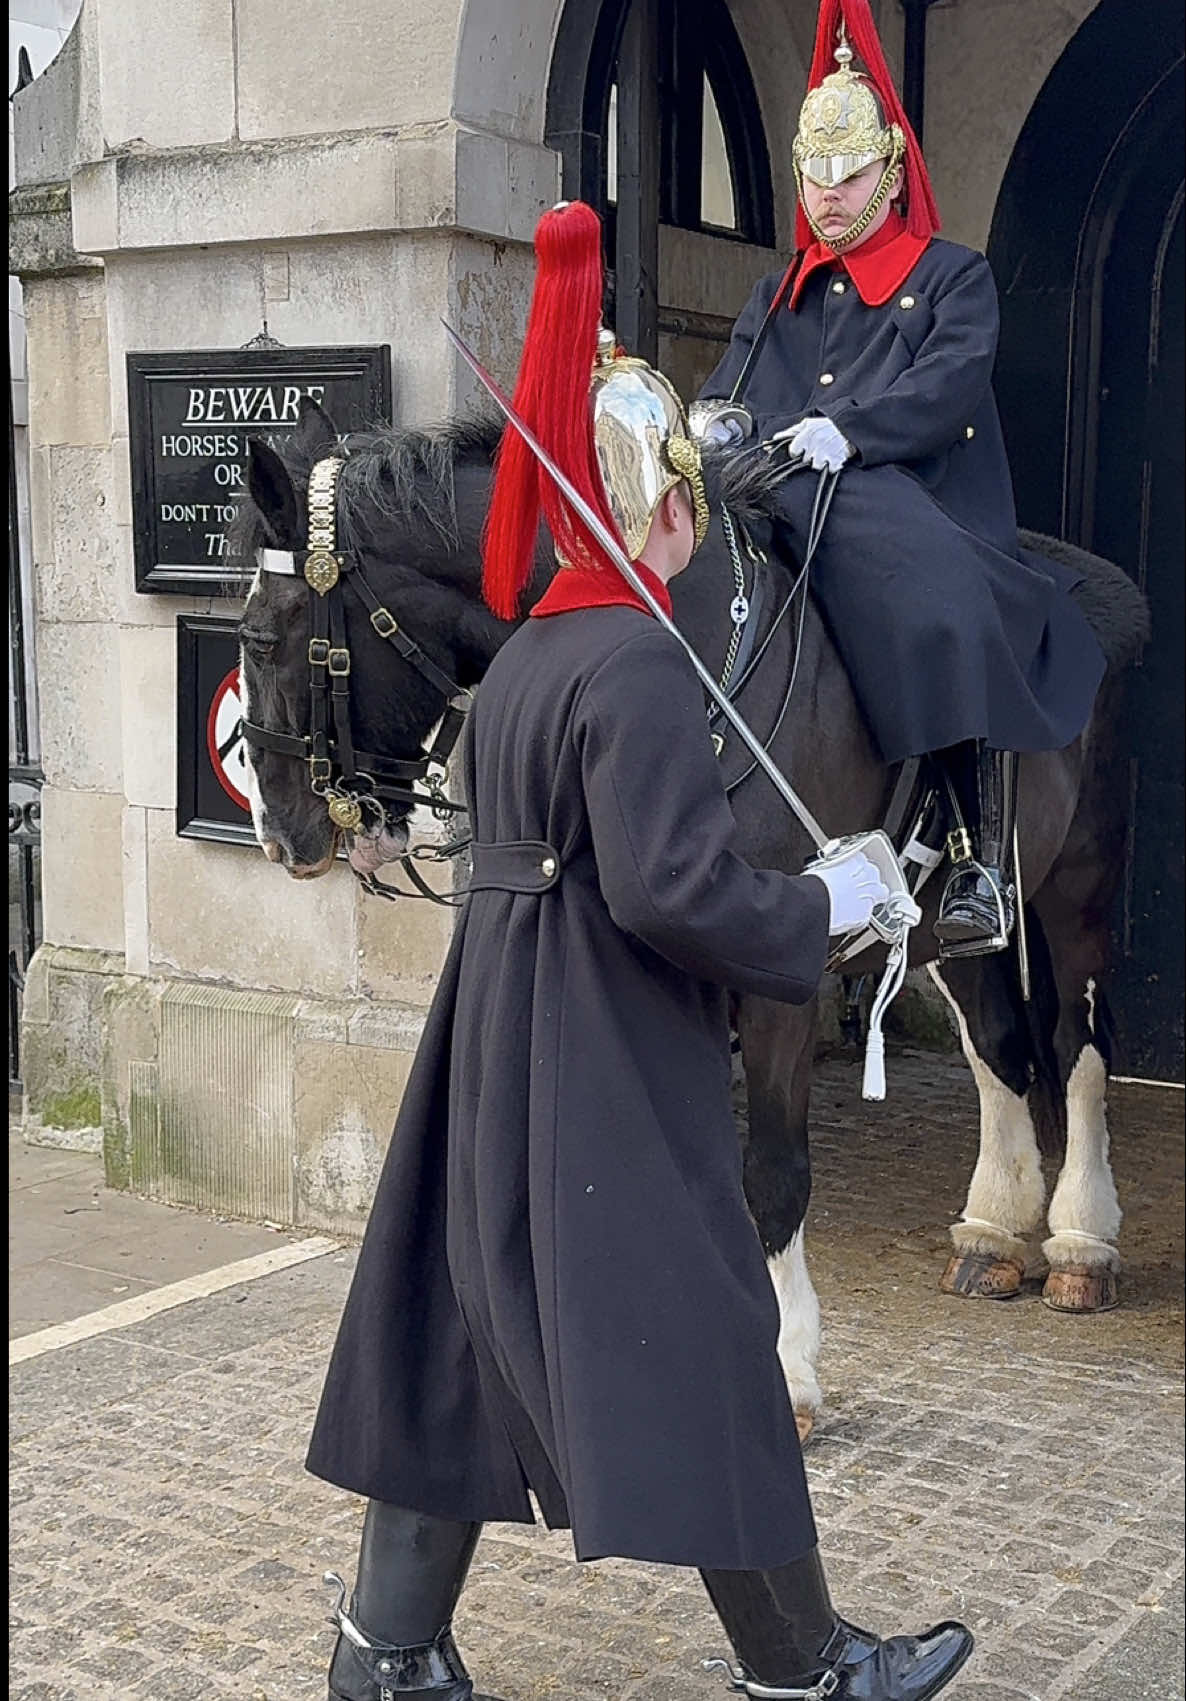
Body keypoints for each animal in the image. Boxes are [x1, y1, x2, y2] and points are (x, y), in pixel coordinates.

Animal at [233, 398, 1150, 1435]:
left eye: (261, 634)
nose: (278, 832)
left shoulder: (785, 976)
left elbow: (772, 1171)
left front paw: (787, 1366)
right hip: (964, 931)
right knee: (998, 1045)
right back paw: (995, 1229)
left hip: (1078, 888)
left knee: (1077, 1047)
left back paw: (1081, 1240)